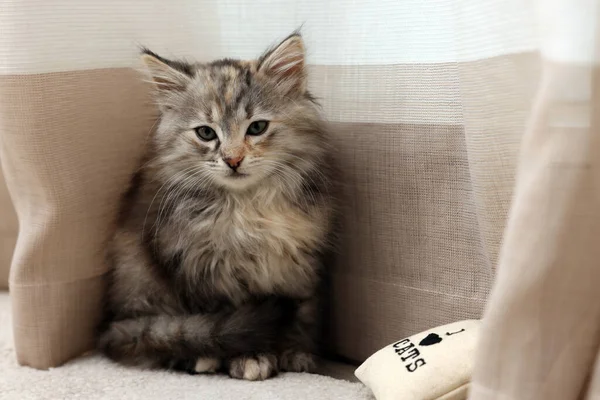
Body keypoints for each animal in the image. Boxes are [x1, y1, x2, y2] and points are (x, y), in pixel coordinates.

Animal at [96, 32, 336, 380]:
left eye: (257, 128)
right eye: (206, 133)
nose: (233, 160)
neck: (248, 209)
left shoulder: (299, 263)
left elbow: (303, 312)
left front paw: (295, 351)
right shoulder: (203, 269)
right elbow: (233, 320)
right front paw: (250, 357)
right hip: (140, 283)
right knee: (150, 339)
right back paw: (199, 357)